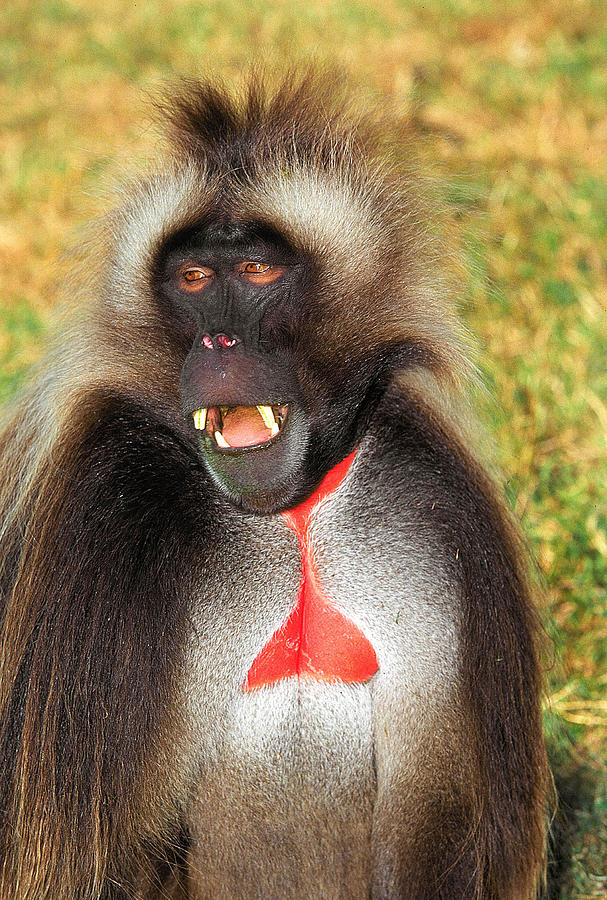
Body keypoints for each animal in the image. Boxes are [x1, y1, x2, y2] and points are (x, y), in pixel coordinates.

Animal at [0, 73, 548, 899]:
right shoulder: (104, 530)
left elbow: (439, 814)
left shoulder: (428, 507)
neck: (291, 516)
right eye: (193, 279)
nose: (219, 342)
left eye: (257, 272)